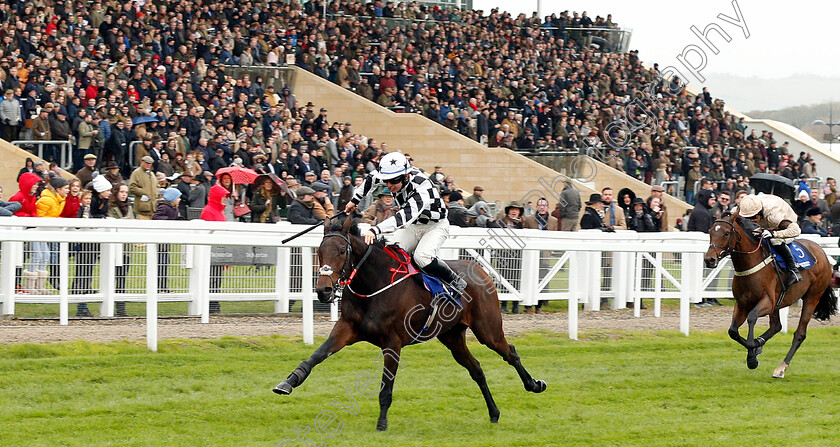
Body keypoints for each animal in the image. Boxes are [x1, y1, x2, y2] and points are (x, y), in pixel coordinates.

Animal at [270, 217, 544, 430]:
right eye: (319, 251)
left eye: (341, 251)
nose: (324, 291)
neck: (374, 284)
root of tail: (481, 271)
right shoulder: (346, 328)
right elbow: (317, 355)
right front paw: (288, 383)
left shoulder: (392, 343)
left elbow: (385, 387)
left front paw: (381, 423)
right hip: (452, 336)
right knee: (476, 369)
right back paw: (494, 412)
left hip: (488, 329)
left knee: (510, 352)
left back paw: (534, 384)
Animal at [704, 212, 836, 380]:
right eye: (710, 231)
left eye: (726, 233)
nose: (709, 259)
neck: (750, 265)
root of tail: (822, 252)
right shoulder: (742, 304)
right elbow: (732, 331)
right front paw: (755, 348)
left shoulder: (767, 302)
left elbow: (752, 318)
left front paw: (752, 356)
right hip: (779, 303)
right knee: (776, 326)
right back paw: (761, 344)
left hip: (812, 297)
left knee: (799, 334)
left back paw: (781, 368)